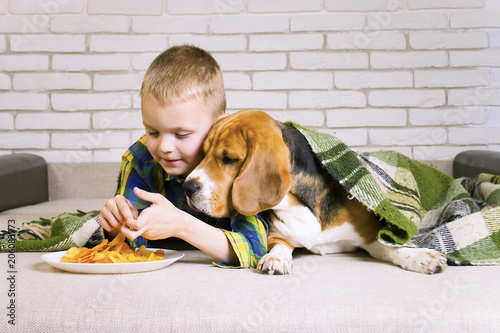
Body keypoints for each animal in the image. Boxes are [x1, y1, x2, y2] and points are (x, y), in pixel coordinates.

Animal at [185, 110, 450, 274]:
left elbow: (393, 248)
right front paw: (276, 258)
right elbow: (279, 246)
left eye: (229, 159)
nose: (187, 187)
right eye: (203, 153)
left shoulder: (371, 236)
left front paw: (421, 257)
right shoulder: (277, 236)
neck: (297, 204)